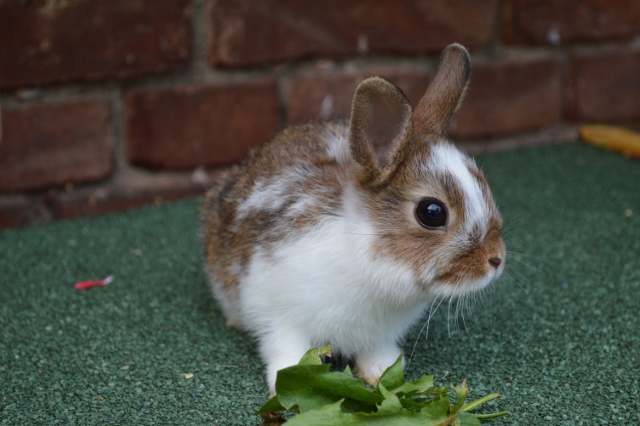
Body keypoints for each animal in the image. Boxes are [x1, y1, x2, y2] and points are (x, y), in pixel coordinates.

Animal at [200, 43, 506, 395]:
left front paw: (383, 374)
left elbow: (377, 355)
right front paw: (287, 387)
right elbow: (286, 353)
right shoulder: (281, 320)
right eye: (432, 212)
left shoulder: (378, 336)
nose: (496, 260)